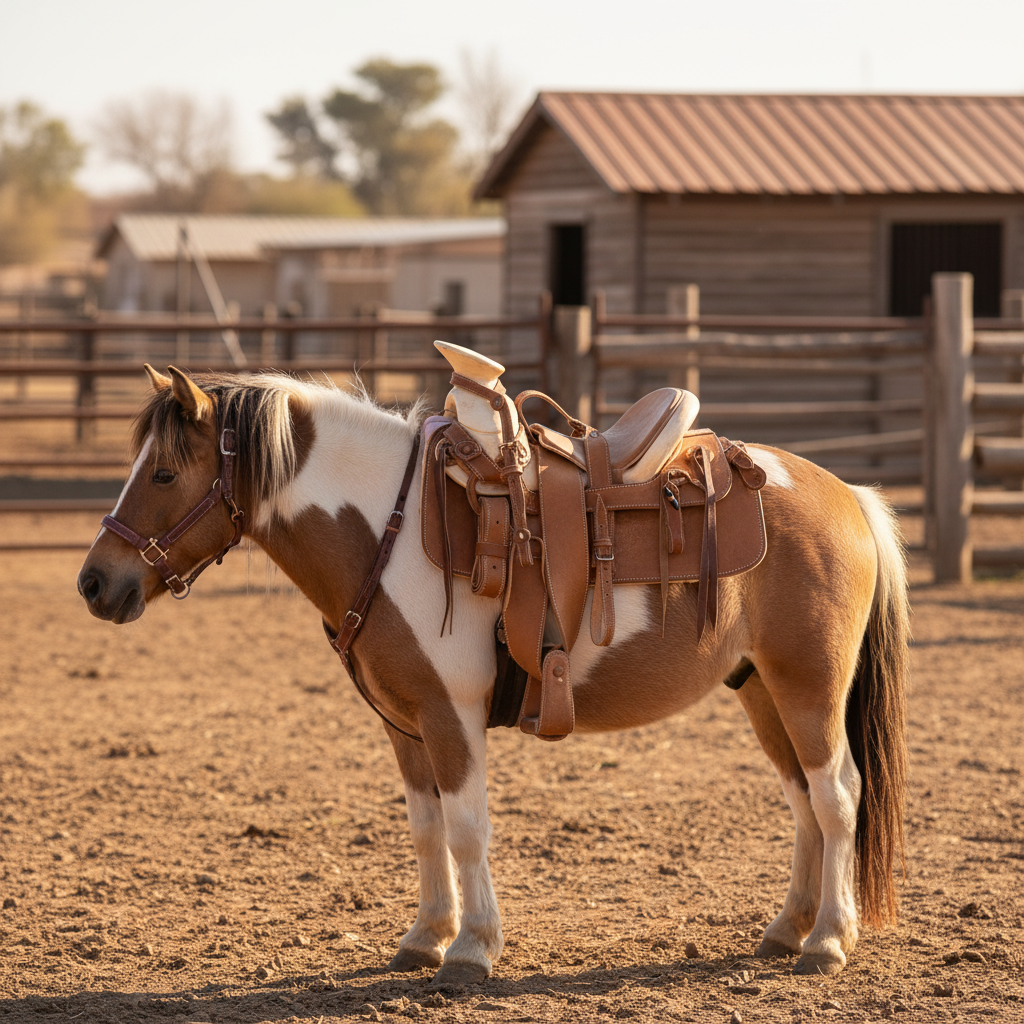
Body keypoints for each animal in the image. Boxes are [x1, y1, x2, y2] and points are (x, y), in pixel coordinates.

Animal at [77, 364, 909, 984]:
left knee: (837, 797)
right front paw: (425, 937)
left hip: (809, 689)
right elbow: (426, 831)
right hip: (763, 691)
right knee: (803, 803)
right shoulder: (406, 725)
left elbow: (468, 829)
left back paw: (828, 941)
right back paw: (787, 929)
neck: (390, 530)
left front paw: (472, 949)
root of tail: (848, 498)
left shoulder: (453, 717)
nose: (93, 583)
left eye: (162, 474)